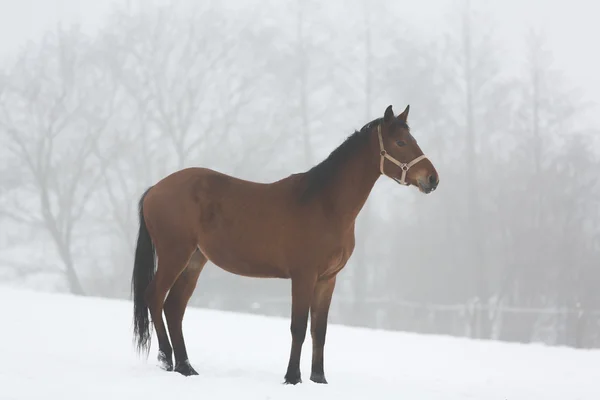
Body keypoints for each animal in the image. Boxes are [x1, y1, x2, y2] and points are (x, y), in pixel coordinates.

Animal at [131, 103, 438, 384]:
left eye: (413, 139)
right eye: (400, 142)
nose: (432, 178)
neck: (326, 205)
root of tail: (155, 189)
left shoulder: (327, 280)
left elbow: (319, 331)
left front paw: (319, 379)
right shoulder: (303, 276)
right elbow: (299, 327)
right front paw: (292, 377)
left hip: (195, 260)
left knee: (174, 307)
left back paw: (186, 367)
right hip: (174, 255)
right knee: (154, 297)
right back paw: (166, 359)